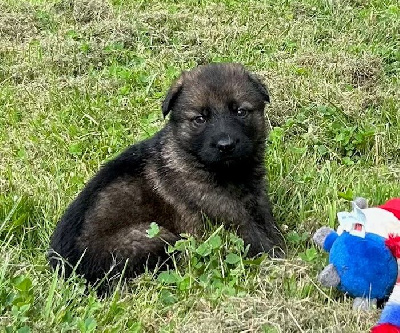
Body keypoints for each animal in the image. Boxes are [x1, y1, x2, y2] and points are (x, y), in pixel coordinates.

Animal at [49, 62, 284, 286]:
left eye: (240, 111)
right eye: (200, 119)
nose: (225, 145)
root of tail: (66, 271)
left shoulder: (257, 196)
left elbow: (268, 223)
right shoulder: (222, 208)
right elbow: (252, 235)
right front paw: (279, 260)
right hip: (153, 236)